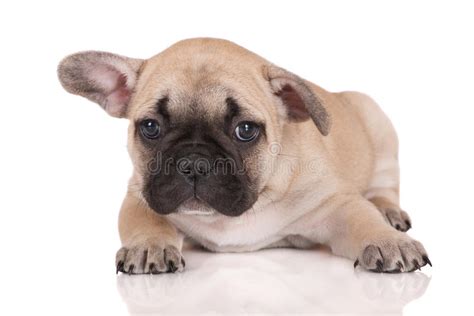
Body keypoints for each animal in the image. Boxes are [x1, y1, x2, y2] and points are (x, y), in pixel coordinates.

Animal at [58, 37, 430, 274]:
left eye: (246, 130)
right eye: (150, 127)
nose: (194, 163)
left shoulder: (335, 205)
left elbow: (362, 217)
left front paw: (388, 240)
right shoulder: (141, 194)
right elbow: (144, 220)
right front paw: (149, 245)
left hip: (380, 129)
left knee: (383, 187)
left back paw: (389, 212)